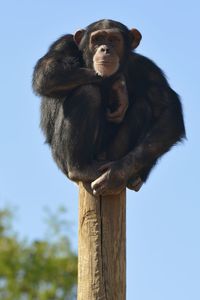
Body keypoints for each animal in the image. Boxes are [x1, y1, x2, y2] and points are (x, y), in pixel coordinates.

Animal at [32, 19, 184, 196]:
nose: (105, 49)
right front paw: (119, 85)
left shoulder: (146, 68)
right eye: (97, 39)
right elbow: (47, 73)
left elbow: (169, 113)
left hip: (111, 156)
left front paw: (117, 173)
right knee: (88, 91)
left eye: (114, 39)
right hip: (61, 159)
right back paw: (80, 168)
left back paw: (131, 177)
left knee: (143, 106)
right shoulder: (63, 44)